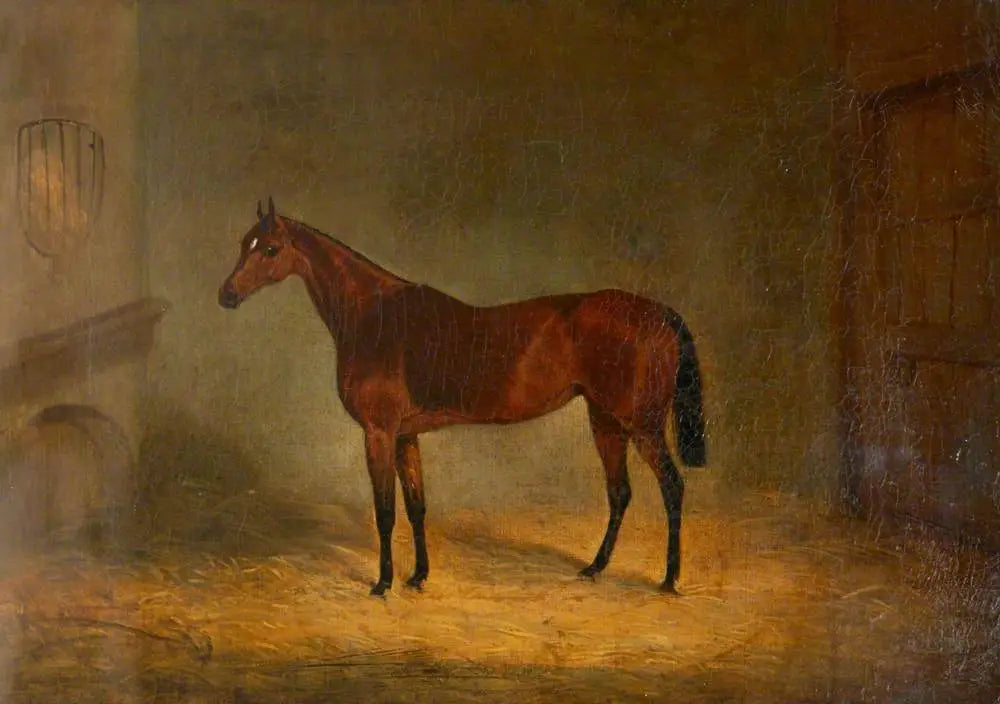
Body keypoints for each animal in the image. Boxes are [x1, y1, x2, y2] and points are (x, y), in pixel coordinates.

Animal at [218, 198, 706, 596]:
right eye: (244, 243)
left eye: (270, 249)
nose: (226, 295)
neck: (374, 316)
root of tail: (661, 313)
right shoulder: (405, 435)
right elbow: (416, 506)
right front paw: (418, 577)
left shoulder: (378, 433)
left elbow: (385, 511)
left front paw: (382, 583)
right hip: (605, 420)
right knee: (620, 492)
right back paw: (594, 568)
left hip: (640, 425)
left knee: (671, 486)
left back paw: (669, 579)